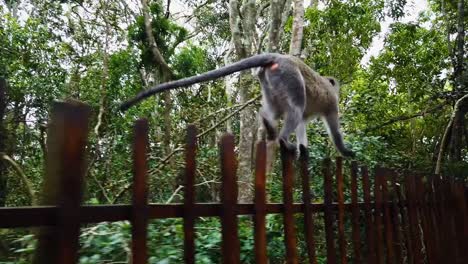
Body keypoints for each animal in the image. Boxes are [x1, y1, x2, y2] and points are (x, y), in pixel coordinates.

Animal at [120, 53, 354, 157]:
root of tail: (278, 58)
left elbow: (303, 124)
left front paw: (305, 149)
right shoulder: (332, 103)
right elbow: (332, 127)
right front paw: (345, 151)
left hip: (269, 80)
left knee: (277, 110)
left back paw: (269, 124)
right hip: (290, 77)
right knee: (295, 108)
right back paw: (282, 139)